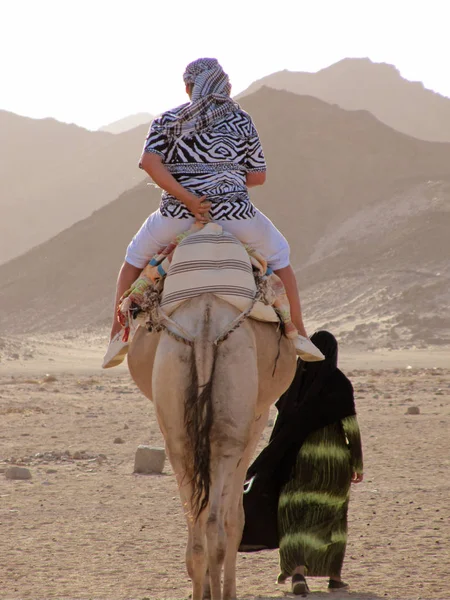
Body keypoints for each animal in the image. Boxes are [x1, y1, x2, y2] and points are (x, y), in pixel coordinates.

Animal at [127, 292, 296, 596]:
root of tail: (205, 327)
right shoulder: (256, 421)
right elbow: (236, 517)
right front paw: (228, 590)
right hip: (230, 425)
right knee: (217, 523)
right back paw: (221, 593)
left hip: (176, 414)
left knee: (196, 523)